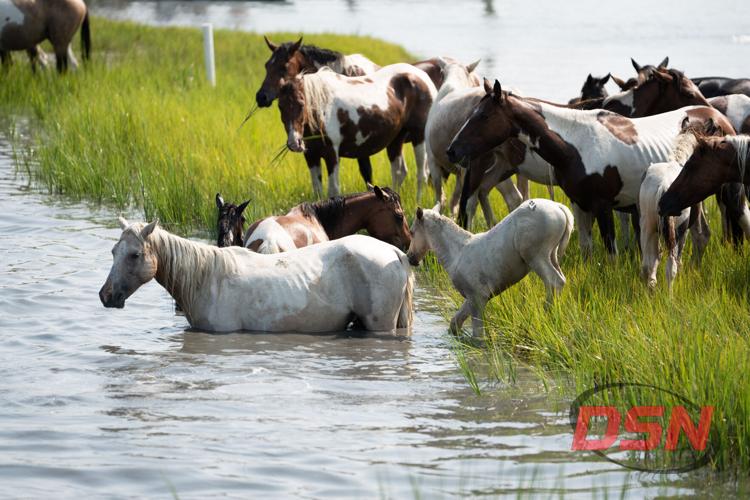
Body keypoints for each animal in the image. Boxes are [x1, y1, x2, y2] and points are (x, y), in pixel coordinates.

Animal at [100, 218, 414, 333]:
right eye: (113, 251)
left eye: (134, 255)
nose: (106, 295)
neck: (208, 279)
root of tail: (395, 253)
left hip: (380, 327)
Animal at [278, 63, 437, 199]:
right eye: (280, 106)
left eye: (301, 103)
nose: (294, 143)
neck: (323, 109)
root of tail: (423, 77)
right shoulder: (311, 156)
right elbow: (317, 191)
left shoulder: (332, 154)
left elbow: (333, 190)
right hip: (396, 138)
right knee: (399, 172)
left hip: (418, 137)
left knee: (422, 174)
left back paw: (418, 202)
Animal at [406, 200, 573, 337]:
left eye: (412, 232)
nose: (410, 258)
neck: (457, 253)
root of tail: (559, 207)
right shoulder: (473, 297)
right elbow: (455, 323)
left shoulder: (478, 296)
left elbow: (478, 335)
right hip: (552, 255)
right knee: (560, 280)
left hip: (536, 256)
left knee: (554, 282)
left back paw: (547, 315)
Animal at [424, 57, 523, 224]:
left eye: (441, 74)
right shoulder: (459, 170)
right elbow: (454, 199)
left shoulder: (433, 160)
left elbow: (442, 197)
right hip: (500, 162)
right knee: (512, 197)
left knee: (472, 202)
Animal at [447, 79, 734, 255]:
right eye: (474, 114)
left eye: (484, 116)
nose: (452, 150)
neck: (577, 144)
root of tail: (718, 118)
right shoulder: (580, 204)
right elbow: (588, 248)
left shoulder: (603, 206)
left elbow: (611, 252)